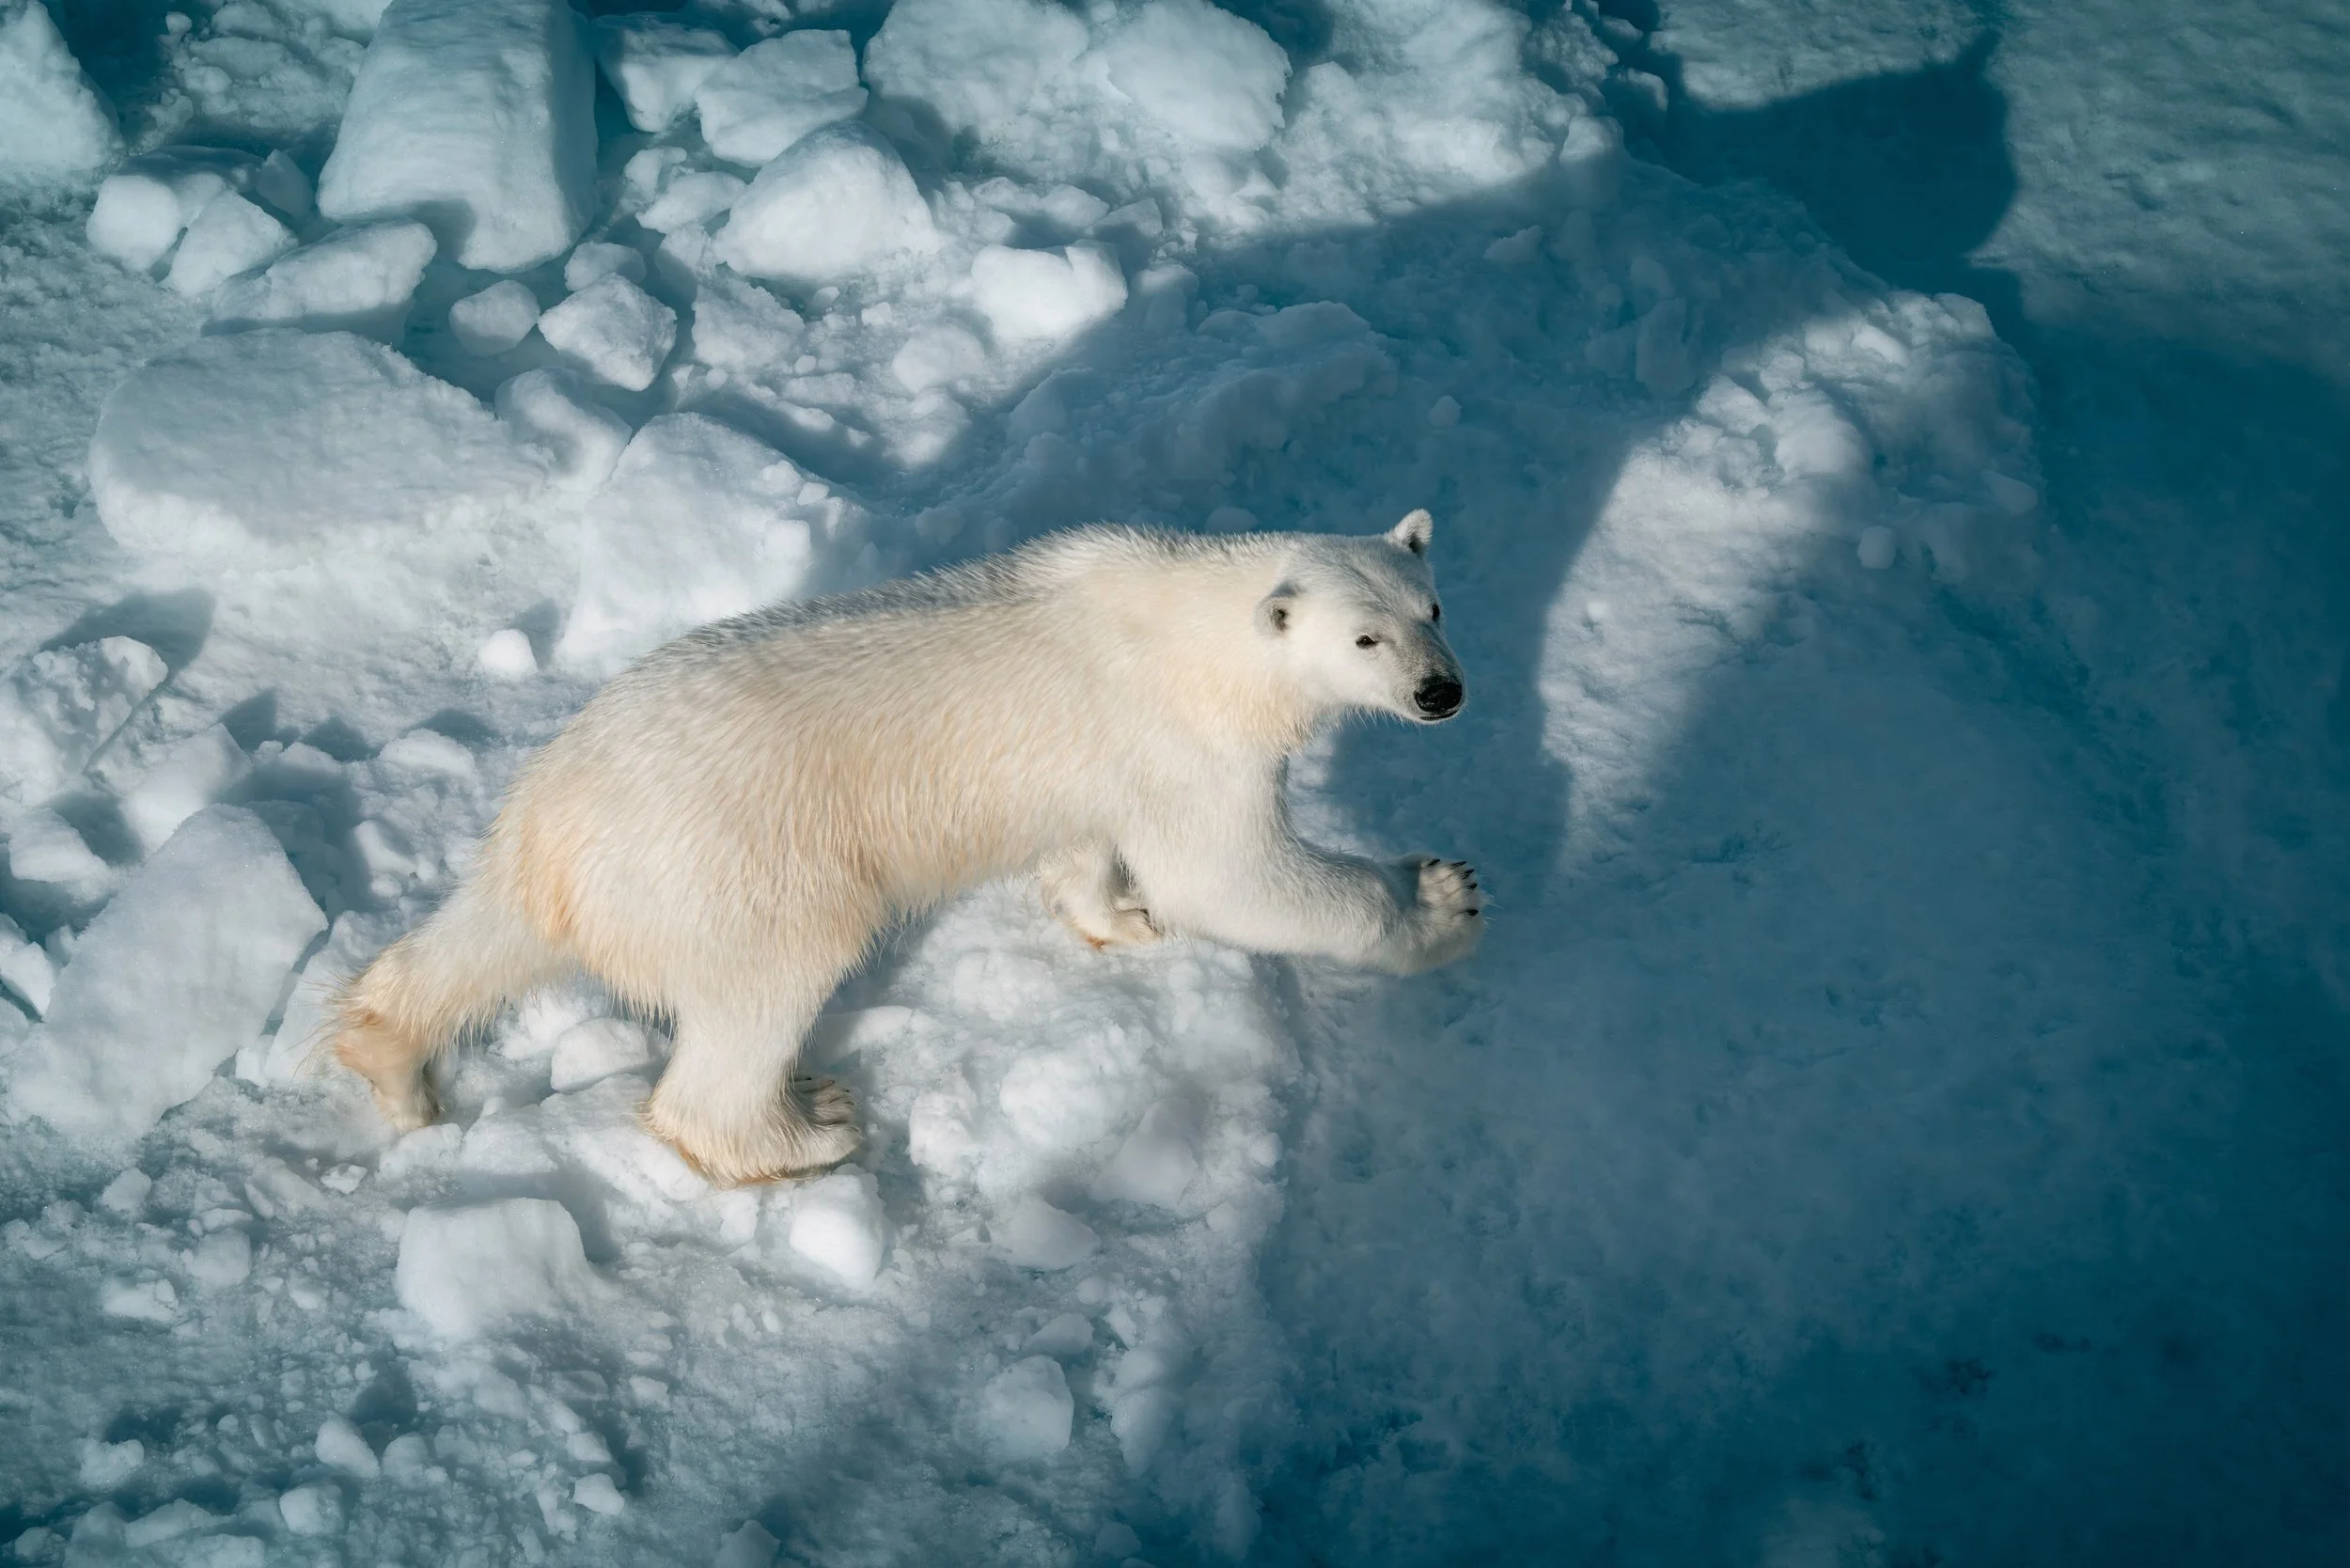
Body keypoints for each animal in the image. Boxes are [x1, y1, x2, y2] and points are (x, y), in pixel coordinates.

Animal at [326, 511, 1481, 1185]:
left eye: (1433, 606)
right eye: (1364, 638)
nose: (1442, 692)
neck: (1197, 621)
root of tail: (547, 824)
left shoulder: (1105, 759)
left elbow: (1093, 847)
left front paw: (1125, 917)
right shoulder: (1186, 736)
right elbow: (1233, 880)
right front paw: (1443, 896)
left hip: (573, 868)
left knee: (466, 948)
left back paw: (392, 1066)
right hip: (737, 862)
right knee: (763, 994)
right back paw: (811, 1128)